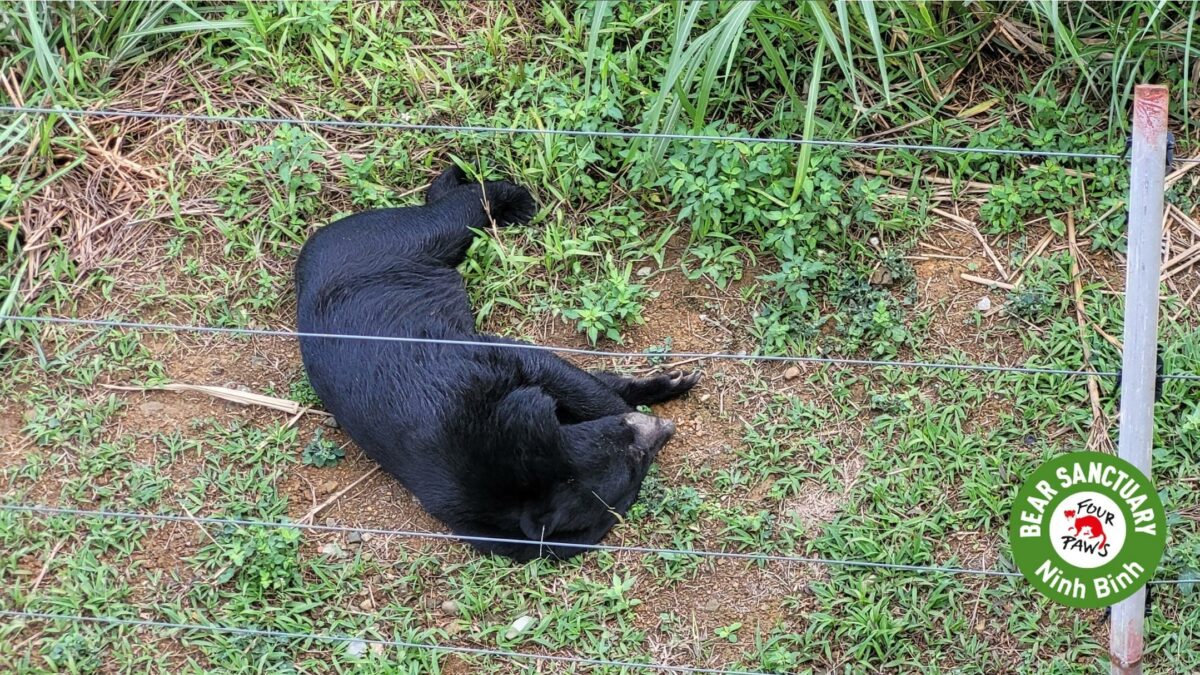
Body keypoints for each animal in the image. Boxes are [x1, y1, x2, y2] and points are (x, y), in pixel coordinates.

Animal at [294, 165, 700, 559]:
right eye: (636, 459)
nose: (665, 428)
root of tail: (312, 247)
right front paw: (655, 392)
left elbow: (563, 375)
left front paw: (670, 382)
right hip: (391, 243)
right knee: (448, 216)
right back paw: (515, 200)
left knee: (451, 215)